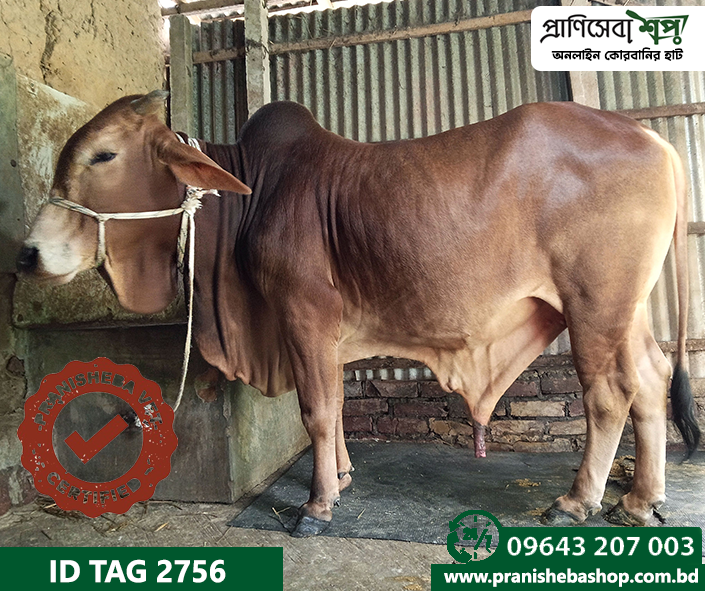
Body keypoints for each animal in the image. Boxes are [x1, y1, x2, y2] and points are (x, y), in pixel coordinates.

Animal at [17, 90, 700, 536]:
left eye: (104, 155)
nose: (28, 253)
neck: (248, 195)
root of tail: (654, 140)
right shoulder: (329, 333)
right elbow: (338, 404)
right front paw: (342, 478)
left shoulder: (303, 314)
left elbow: (316, 411)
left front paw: (317, 506)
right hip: (626, 309)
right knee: (649, 382)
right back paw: (640, 501)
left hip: (593, 304)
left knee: (607, 395)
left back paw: (577, 501)